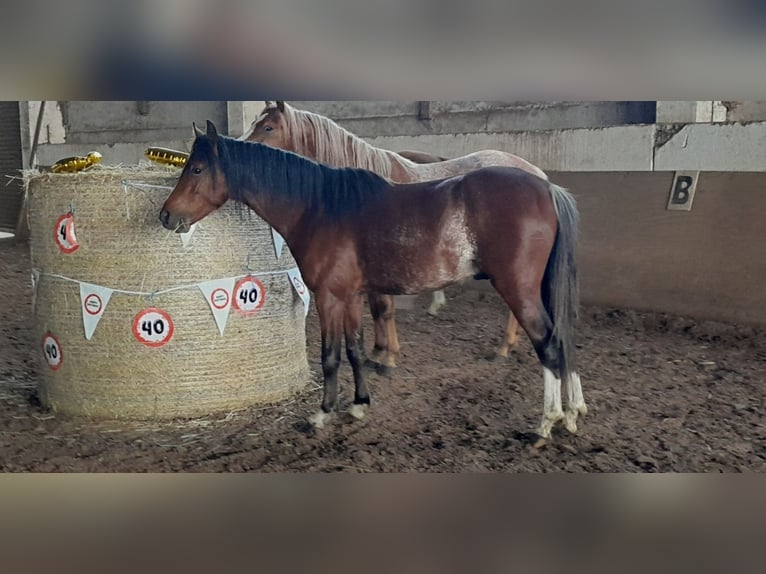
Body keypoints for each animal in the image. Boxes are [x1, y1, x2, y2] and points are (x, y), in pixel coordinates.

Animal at [243, 102, 544, 374]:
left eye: (268, 127)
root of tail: (536, 174)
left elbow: (385, 308)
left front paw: (387, 359)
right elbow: (378, 309)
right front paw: (378, 352)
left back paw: (502, 347)